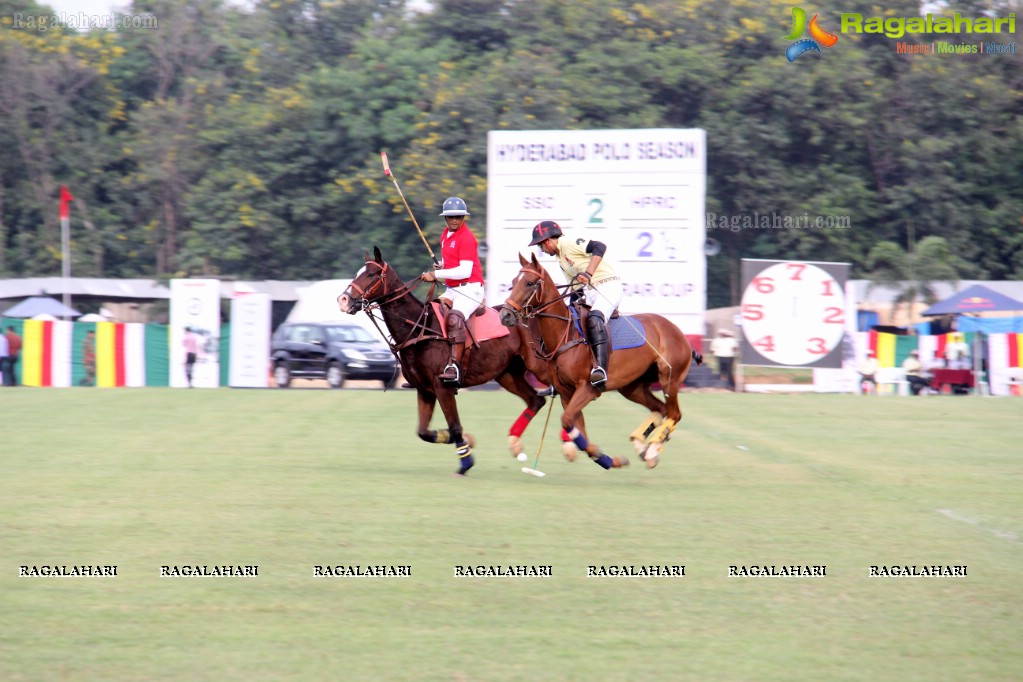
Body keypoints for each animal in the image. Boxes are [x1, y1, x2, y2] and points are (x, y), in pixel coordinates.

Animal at [497, 253, 703, 472]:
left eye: (529, 283)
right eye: (513, 282)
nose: (505, 315)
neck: (565, 333)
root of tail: (679, 334)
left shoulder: (587, 389)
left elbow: (567, 420)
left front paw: (604, 457)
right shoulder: (567, 393)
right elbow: (577, 429)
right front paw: (609, 459)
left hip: (669, 378)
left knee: (675, 413)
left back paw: (653, 449)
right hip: (633, 387)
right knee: (661, 409)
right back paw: (643, 446)